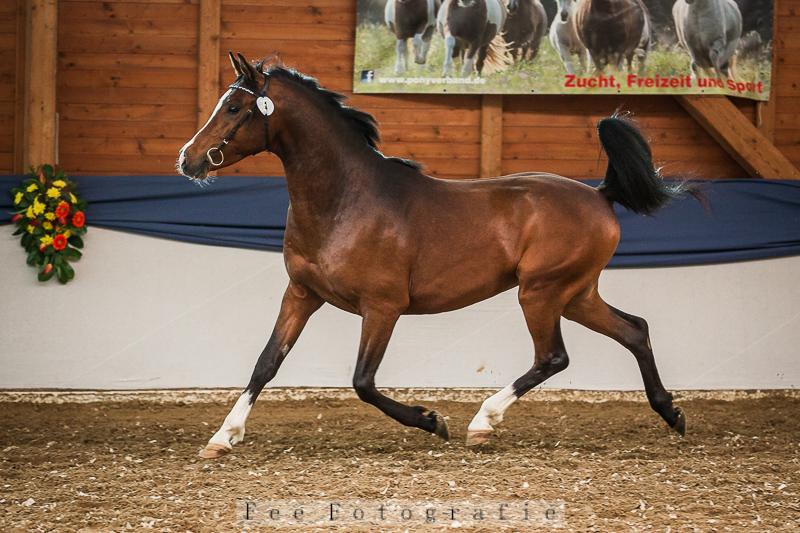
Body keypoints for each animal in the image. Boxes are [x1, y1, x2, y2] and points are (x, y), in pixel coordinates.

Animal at [178, 53, 699, 458]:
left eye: (235, 107)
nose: (188, 159)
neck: (345, 200)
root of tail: (599, 195)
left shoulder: (382, 307)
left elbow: (363, 381)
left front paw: (433, 420)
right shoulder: (302, 293)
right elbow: (266, 363)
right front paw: (223, 436)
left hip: (541, 292)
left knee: (553, 356)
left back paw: (482, 422)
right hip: (576, 295)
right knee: (634, 330)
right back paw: (671, 413)